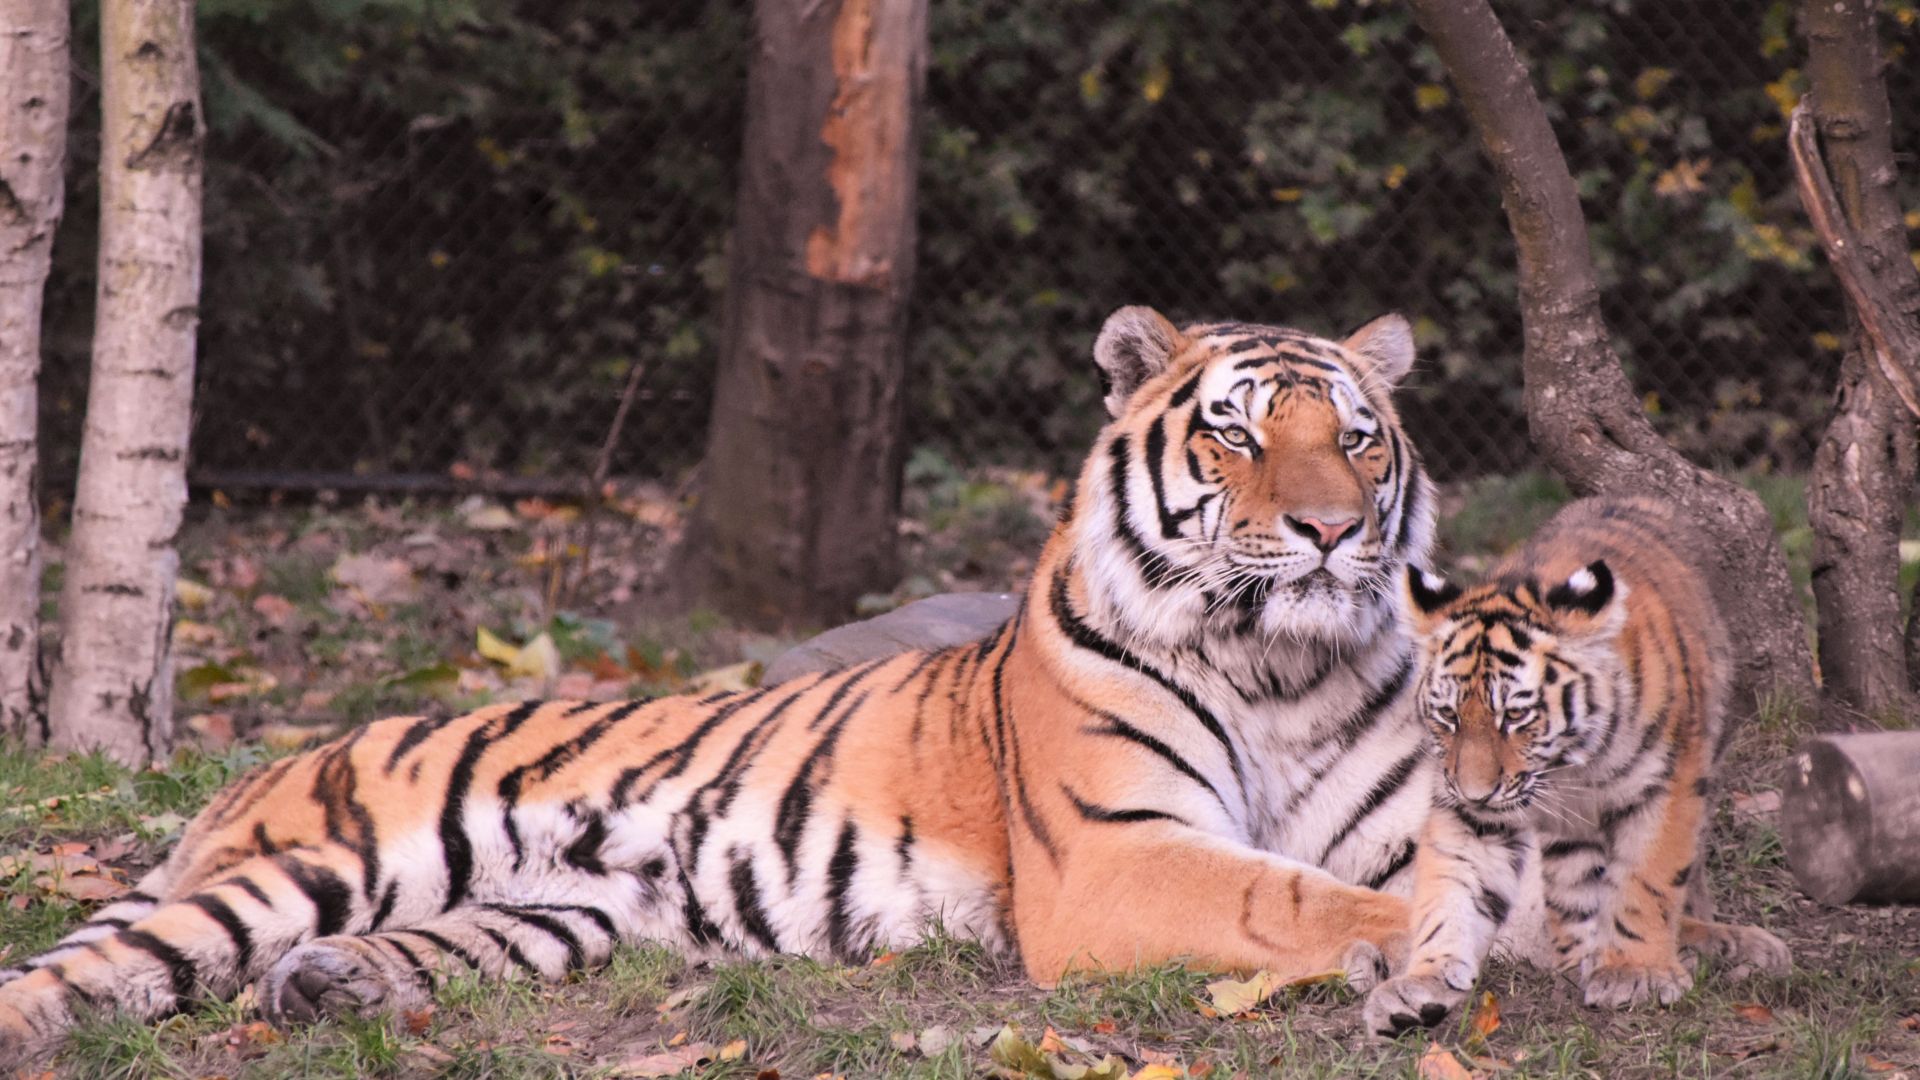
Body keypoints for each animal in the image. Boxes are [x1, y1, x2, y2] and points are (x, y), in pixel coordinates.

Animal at [0, 305, 1443, 1060]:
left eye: (1358, 440)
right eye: (1235, 433)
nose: (1328, 529)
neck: (1279, 666)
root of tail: (259, 769)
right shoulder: (1114, 857)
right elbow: (1294, 897)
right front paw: (1433, 954)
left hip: (557, 915)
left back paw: (328, 990)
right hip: (322, 862)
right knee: (98, 970)